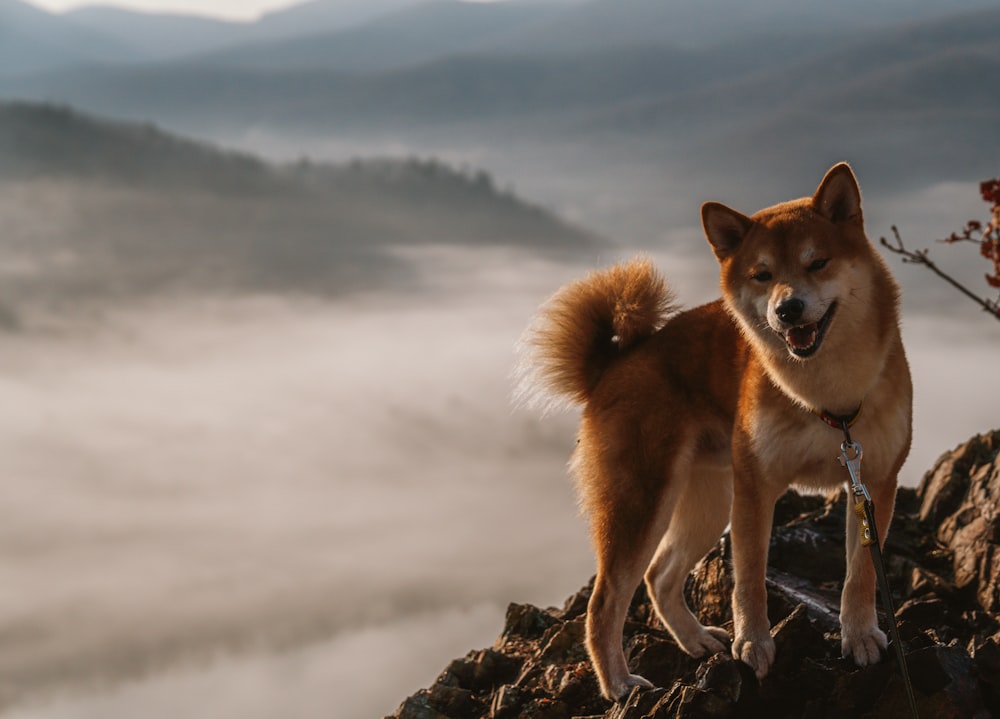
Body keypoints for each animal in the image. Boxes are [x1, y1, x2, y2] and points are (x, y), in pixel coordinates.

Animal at [520, 165, 912, 704]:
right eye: (762, 275)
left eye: (818, 263)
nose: (788, 309)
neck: (828, 401)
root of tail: (612, 366)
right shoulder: (756, 488)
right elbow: (748, 578)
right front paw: (755, 644)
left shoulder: (871, 481)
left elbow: (861, 573)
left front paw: (860, 637)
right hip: (644, 501)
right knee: (605, 603)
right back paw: (620, 684)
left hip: (706, 498)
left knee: (659, 576)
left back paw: (696, 641)